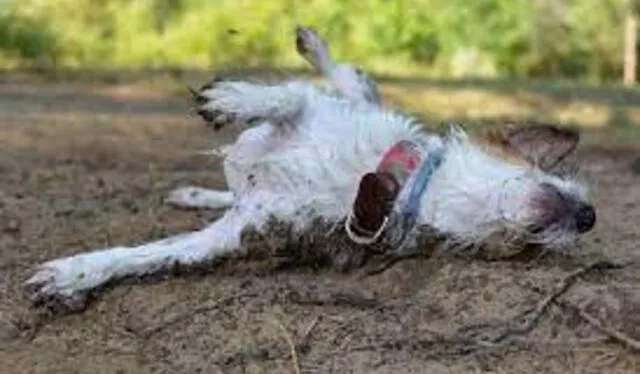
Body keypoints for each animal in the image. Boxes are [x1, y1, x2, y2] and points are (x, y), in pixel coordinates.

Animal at [23, 29, 596, 312]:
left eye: (524, 252)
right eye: (542, 168)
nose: (589, 215)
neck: (396, 186)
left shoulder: (236, 234)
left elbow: (155, 254)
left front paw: (76, 275)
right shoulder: (315, 111)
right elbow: (287, 96)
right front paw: (234, 98)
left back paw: (195, 194)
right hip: (349, 97)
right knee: (346, 75)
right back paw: (311, 42)